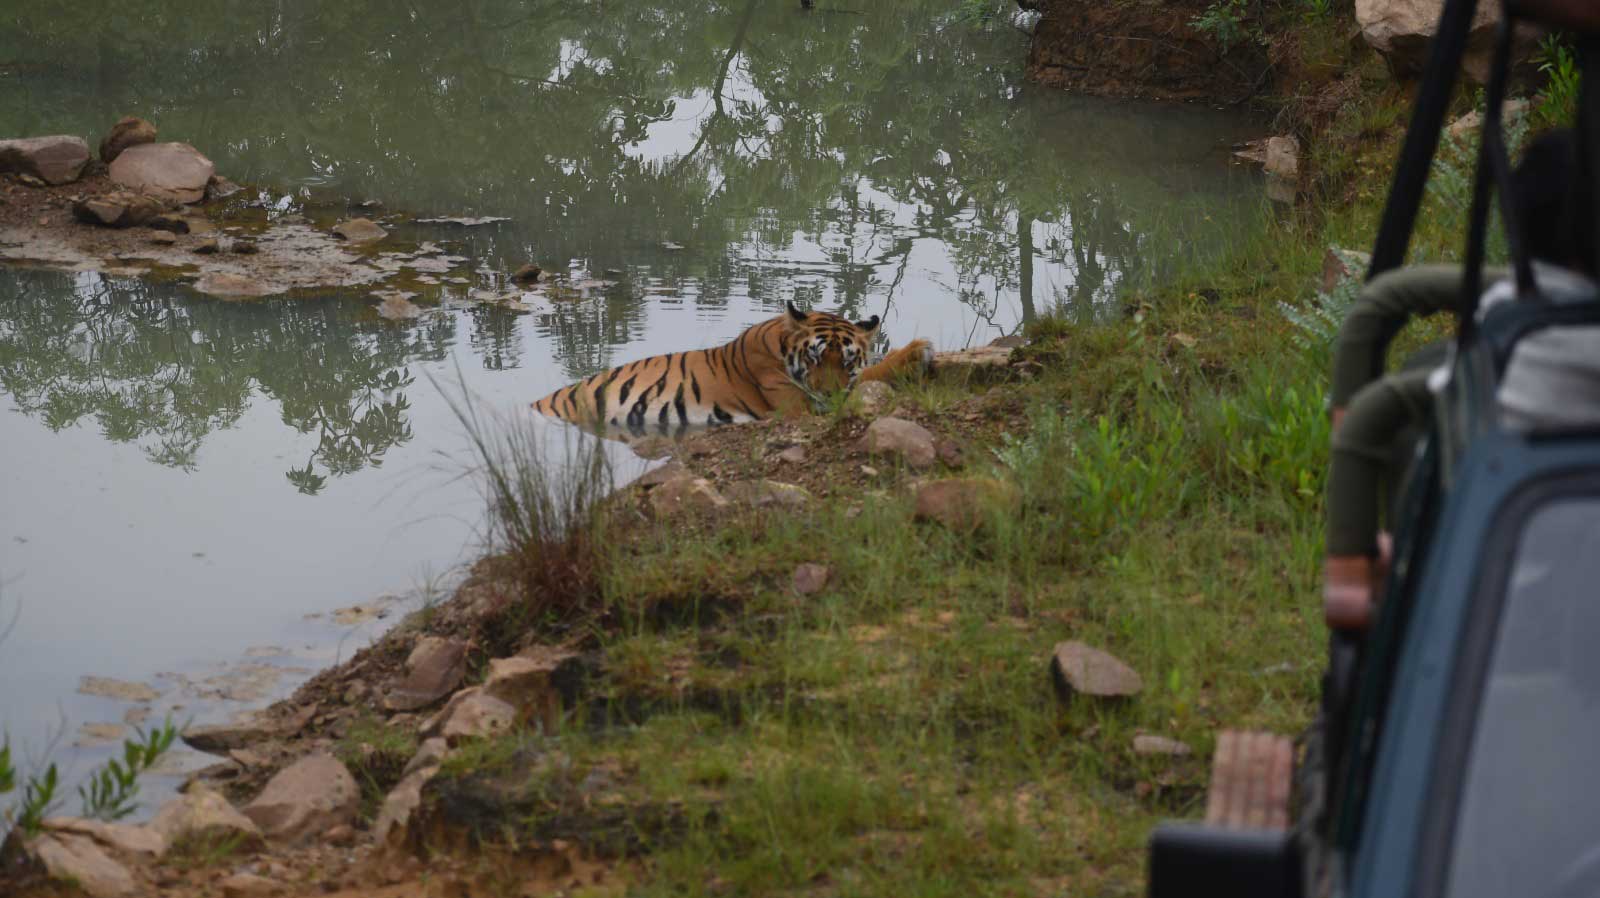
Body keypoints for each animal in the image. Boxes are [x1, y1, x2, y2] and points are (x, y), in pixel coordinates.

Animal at [532, 302, 933, 438]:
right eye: (815, 358)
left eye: (847, 361)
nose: (827, 394)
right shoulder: (799, 407)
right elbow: (868, 378)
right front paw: (916, 352)